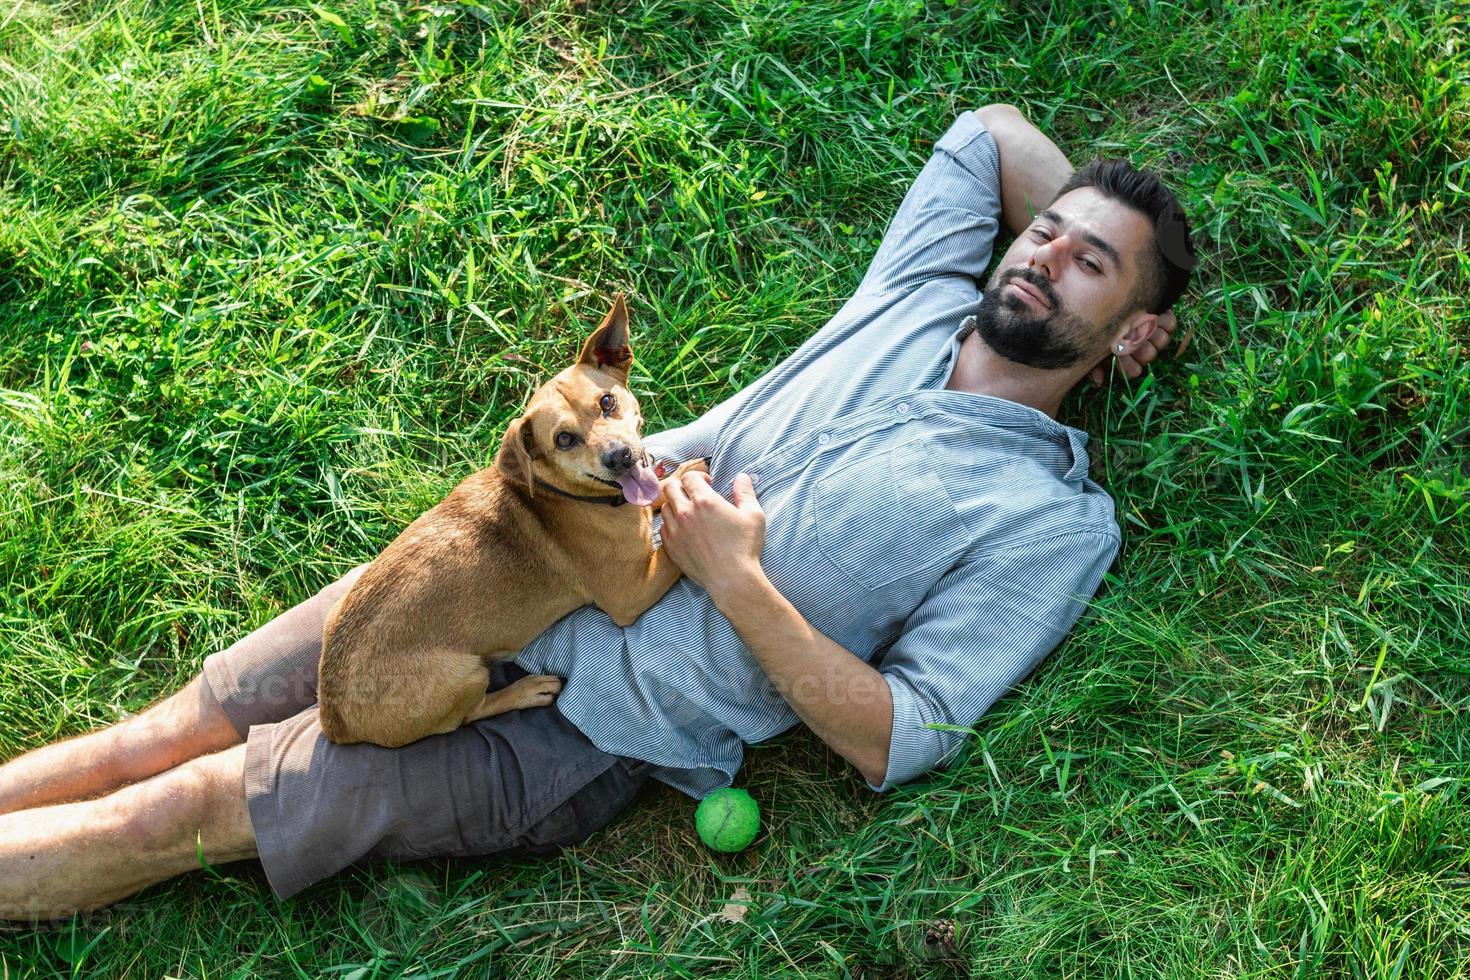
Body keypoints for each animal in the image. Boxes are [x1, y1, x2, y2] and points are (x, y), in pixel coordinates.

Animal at [318, 295, 708, 746]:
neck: (566, 495)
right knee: (470, 714)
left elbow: (656, 492)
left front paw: (675, 479)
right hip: (463, 674)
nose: (621, 456)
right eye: (563, 439)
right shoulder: (631, 594)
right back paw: (527, 690)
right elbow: (674, 552)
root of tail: (333, 719)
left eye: (607, 403)